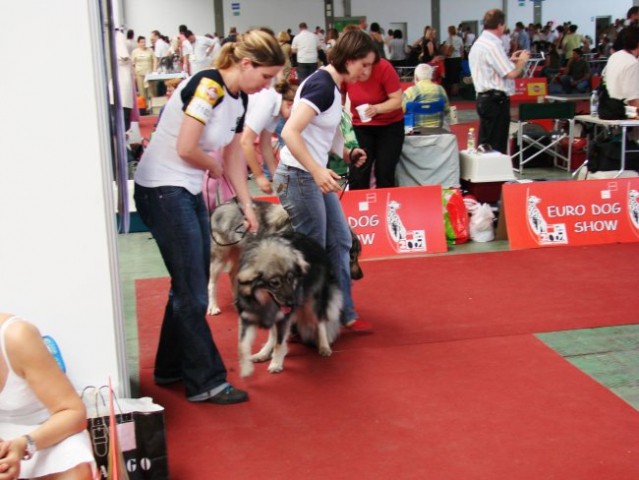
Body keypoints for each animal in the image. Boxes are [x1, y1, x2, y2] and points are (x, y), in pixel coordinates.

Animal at [235, 233, 344, 378]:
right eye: (274, 283)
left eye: (290, 278)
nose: (292, 303)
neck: (264, 300)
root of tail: (316, 244)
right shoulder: (247, 317)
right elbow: (242, 346)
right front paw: (246, 368)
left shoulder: (284, 317)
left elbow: (279, 343)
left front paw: (276, 363)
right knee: (273, 335)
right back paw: (263, 353)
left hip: (313, 302)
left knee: (320, 322)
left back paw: (324, 346)